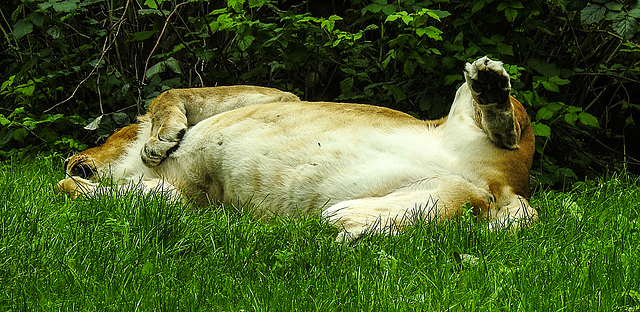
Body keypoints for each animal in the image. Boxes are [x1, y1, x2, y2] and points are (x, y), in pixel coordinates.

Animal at [57, 56, 536, 241]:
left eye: (102, 138)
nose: (68, 160)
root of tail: (506, 190)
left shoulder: (274, 96)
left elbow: (169, 94)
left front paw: (159, 142)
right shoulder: (178, 201)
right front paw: (71, 186)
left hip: (475, 113)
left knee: (507, 121)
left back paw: (491, 84)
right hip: (426, 201)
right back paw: (348, 239)